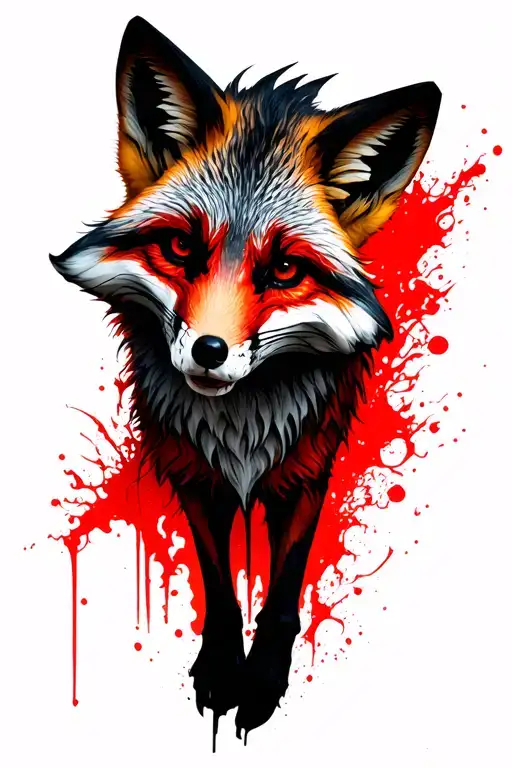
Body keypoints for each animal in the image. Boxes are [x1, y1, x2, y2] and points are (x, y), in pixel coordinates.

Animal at [51, 16, 441, 743]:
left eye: (284, 269)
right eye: (181, 247)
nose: (209, 352)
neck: (240, 430)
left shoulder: (311, 468)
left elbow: (283, 592)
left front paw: (261, 683)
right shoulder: (189, 468)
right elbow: (220, 587)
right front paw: (220, 670)